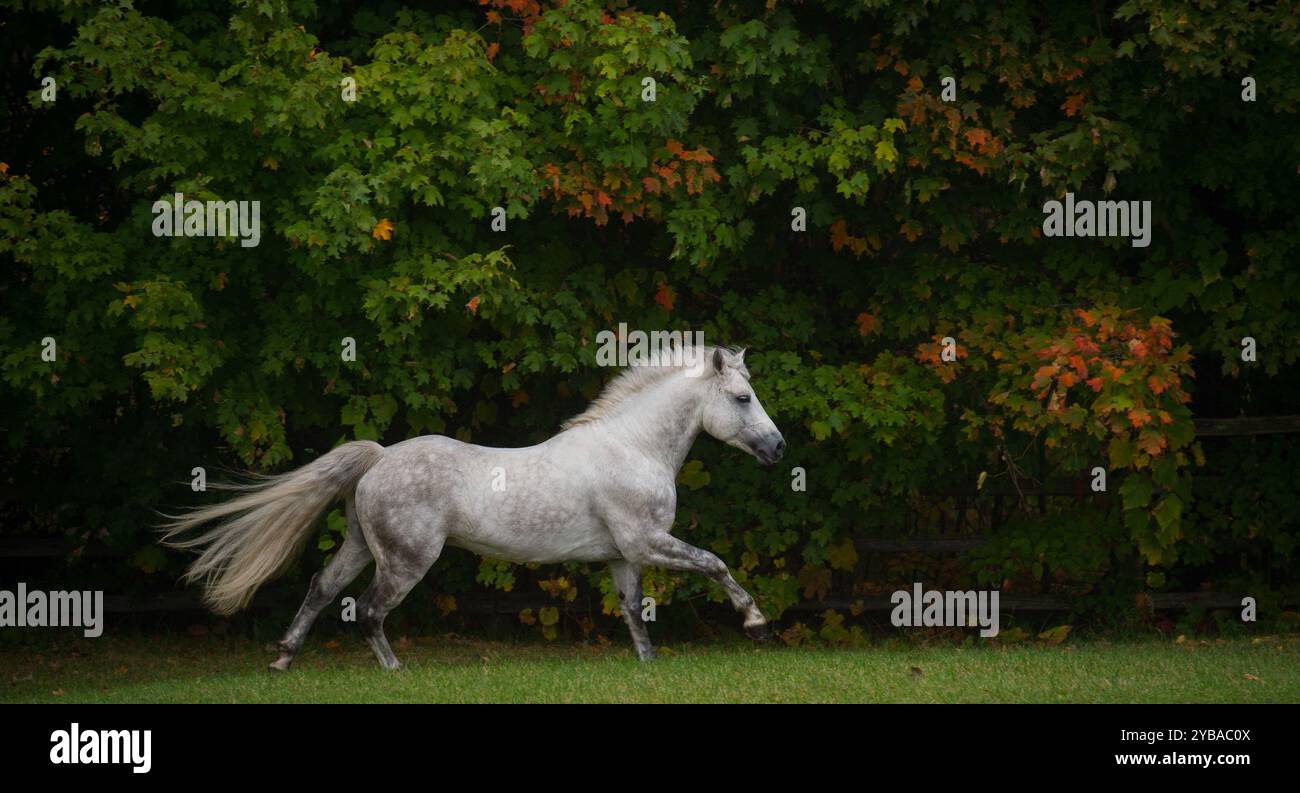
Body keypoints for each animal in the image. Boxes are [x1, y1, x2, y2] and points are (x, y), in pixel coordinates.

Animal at [161, 345, 785, 670]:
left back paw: (283, 659)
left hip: (362, 544)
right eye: (741, 398)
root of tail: (380, 457)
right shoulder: (647, 542)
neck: (633, 446)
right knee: (368, 610)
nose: (779, 449)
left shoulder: (622, 555)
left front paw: (648, 665)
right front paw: (756, 625)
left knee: (321, 589)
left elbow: (633, 610)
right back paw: (394, 672)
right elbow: (715, 564)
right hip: (407, 559)